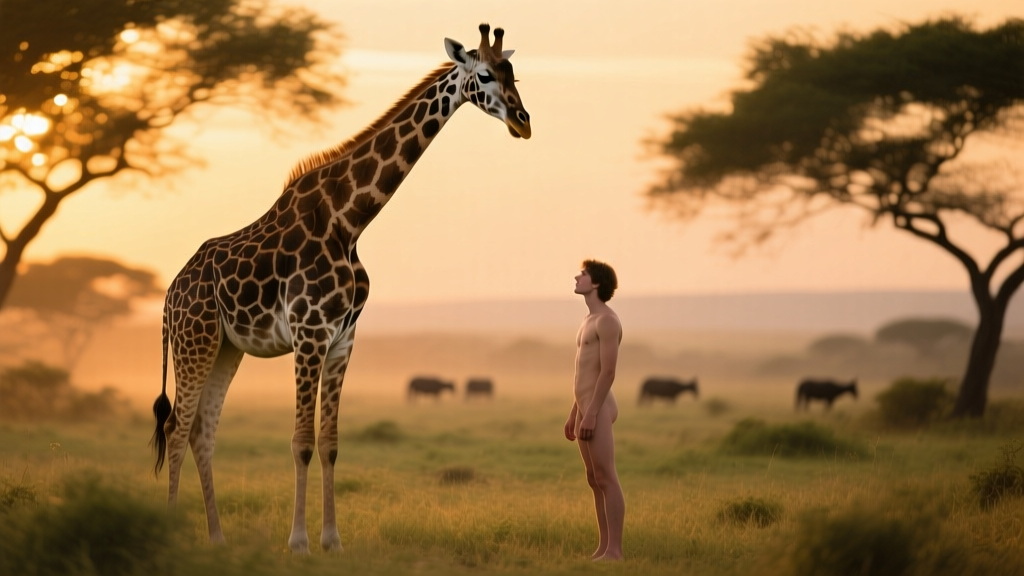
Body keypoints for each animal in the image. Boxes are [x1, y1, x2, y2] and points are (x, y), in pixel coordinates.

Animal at [150, 24, 530, 553]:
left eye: (514, 72)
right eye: (485, 74)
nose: (523, 121)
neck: (348, 222)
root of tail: (169, 296)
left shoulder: (342, 339)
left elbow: (329, 444)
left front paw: (332, 540)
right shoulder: (309, 334)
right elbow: (301, 443)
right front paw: (298, 542)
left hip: (227, 347)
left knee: (201, 431)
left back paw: (218, 539)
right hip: (196, 341)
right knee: (176, 425)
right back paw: (171, 532)